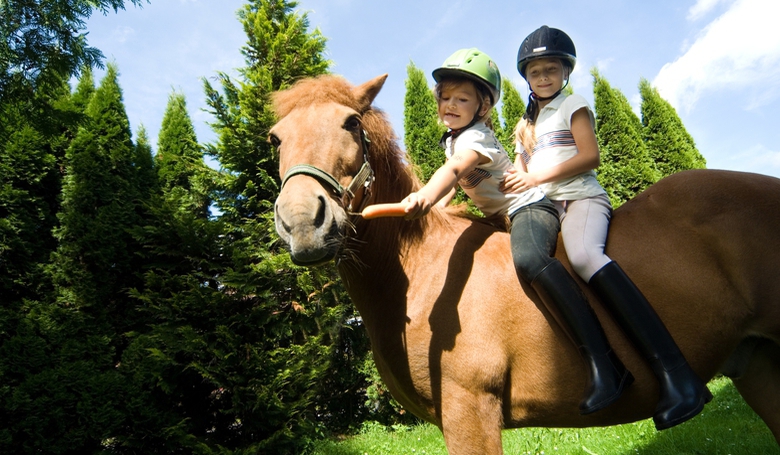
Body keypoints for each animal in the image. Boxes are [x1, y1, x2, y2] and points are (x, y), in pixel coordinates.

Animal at [272, 73, 780, 454]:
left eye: (351, 123)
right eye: (276, 137)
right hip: (758, 366)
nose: (303, 222)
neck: (423, 270)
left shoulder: (470, 412)